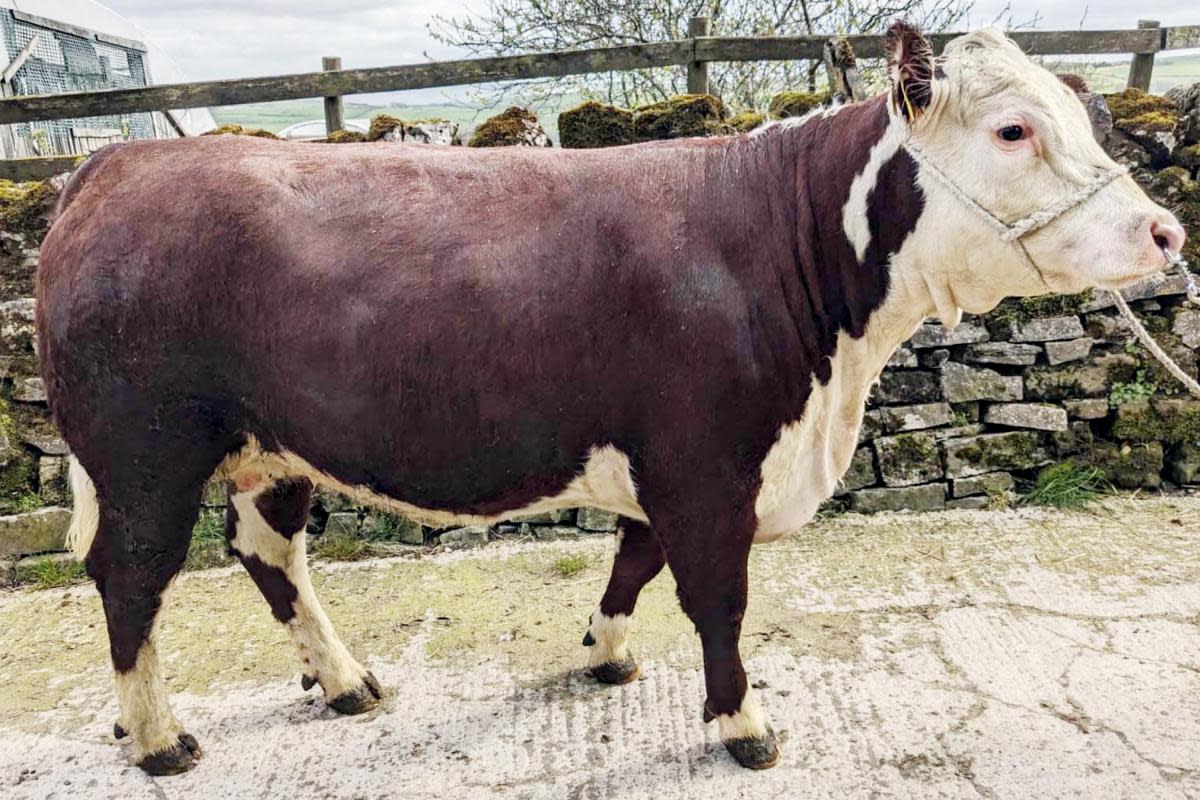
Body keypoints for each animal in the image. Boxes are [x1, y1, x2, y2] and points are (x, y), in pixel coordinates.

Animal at [35, 23, 1180, 777]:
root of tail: (116, 163)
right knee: (131, 580)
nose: (1166, 230)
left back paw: (345, 678)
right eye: (1014, 130)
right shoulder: (706, 458)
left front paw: (606, 655)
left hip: (272, 448)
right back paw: (159, 735)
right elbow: (716, 595)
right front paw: (741, 724)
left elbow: (635, 560)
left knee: (268, 554)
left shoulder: (663, 458)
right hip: (145, 454)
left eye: (1087, 120)